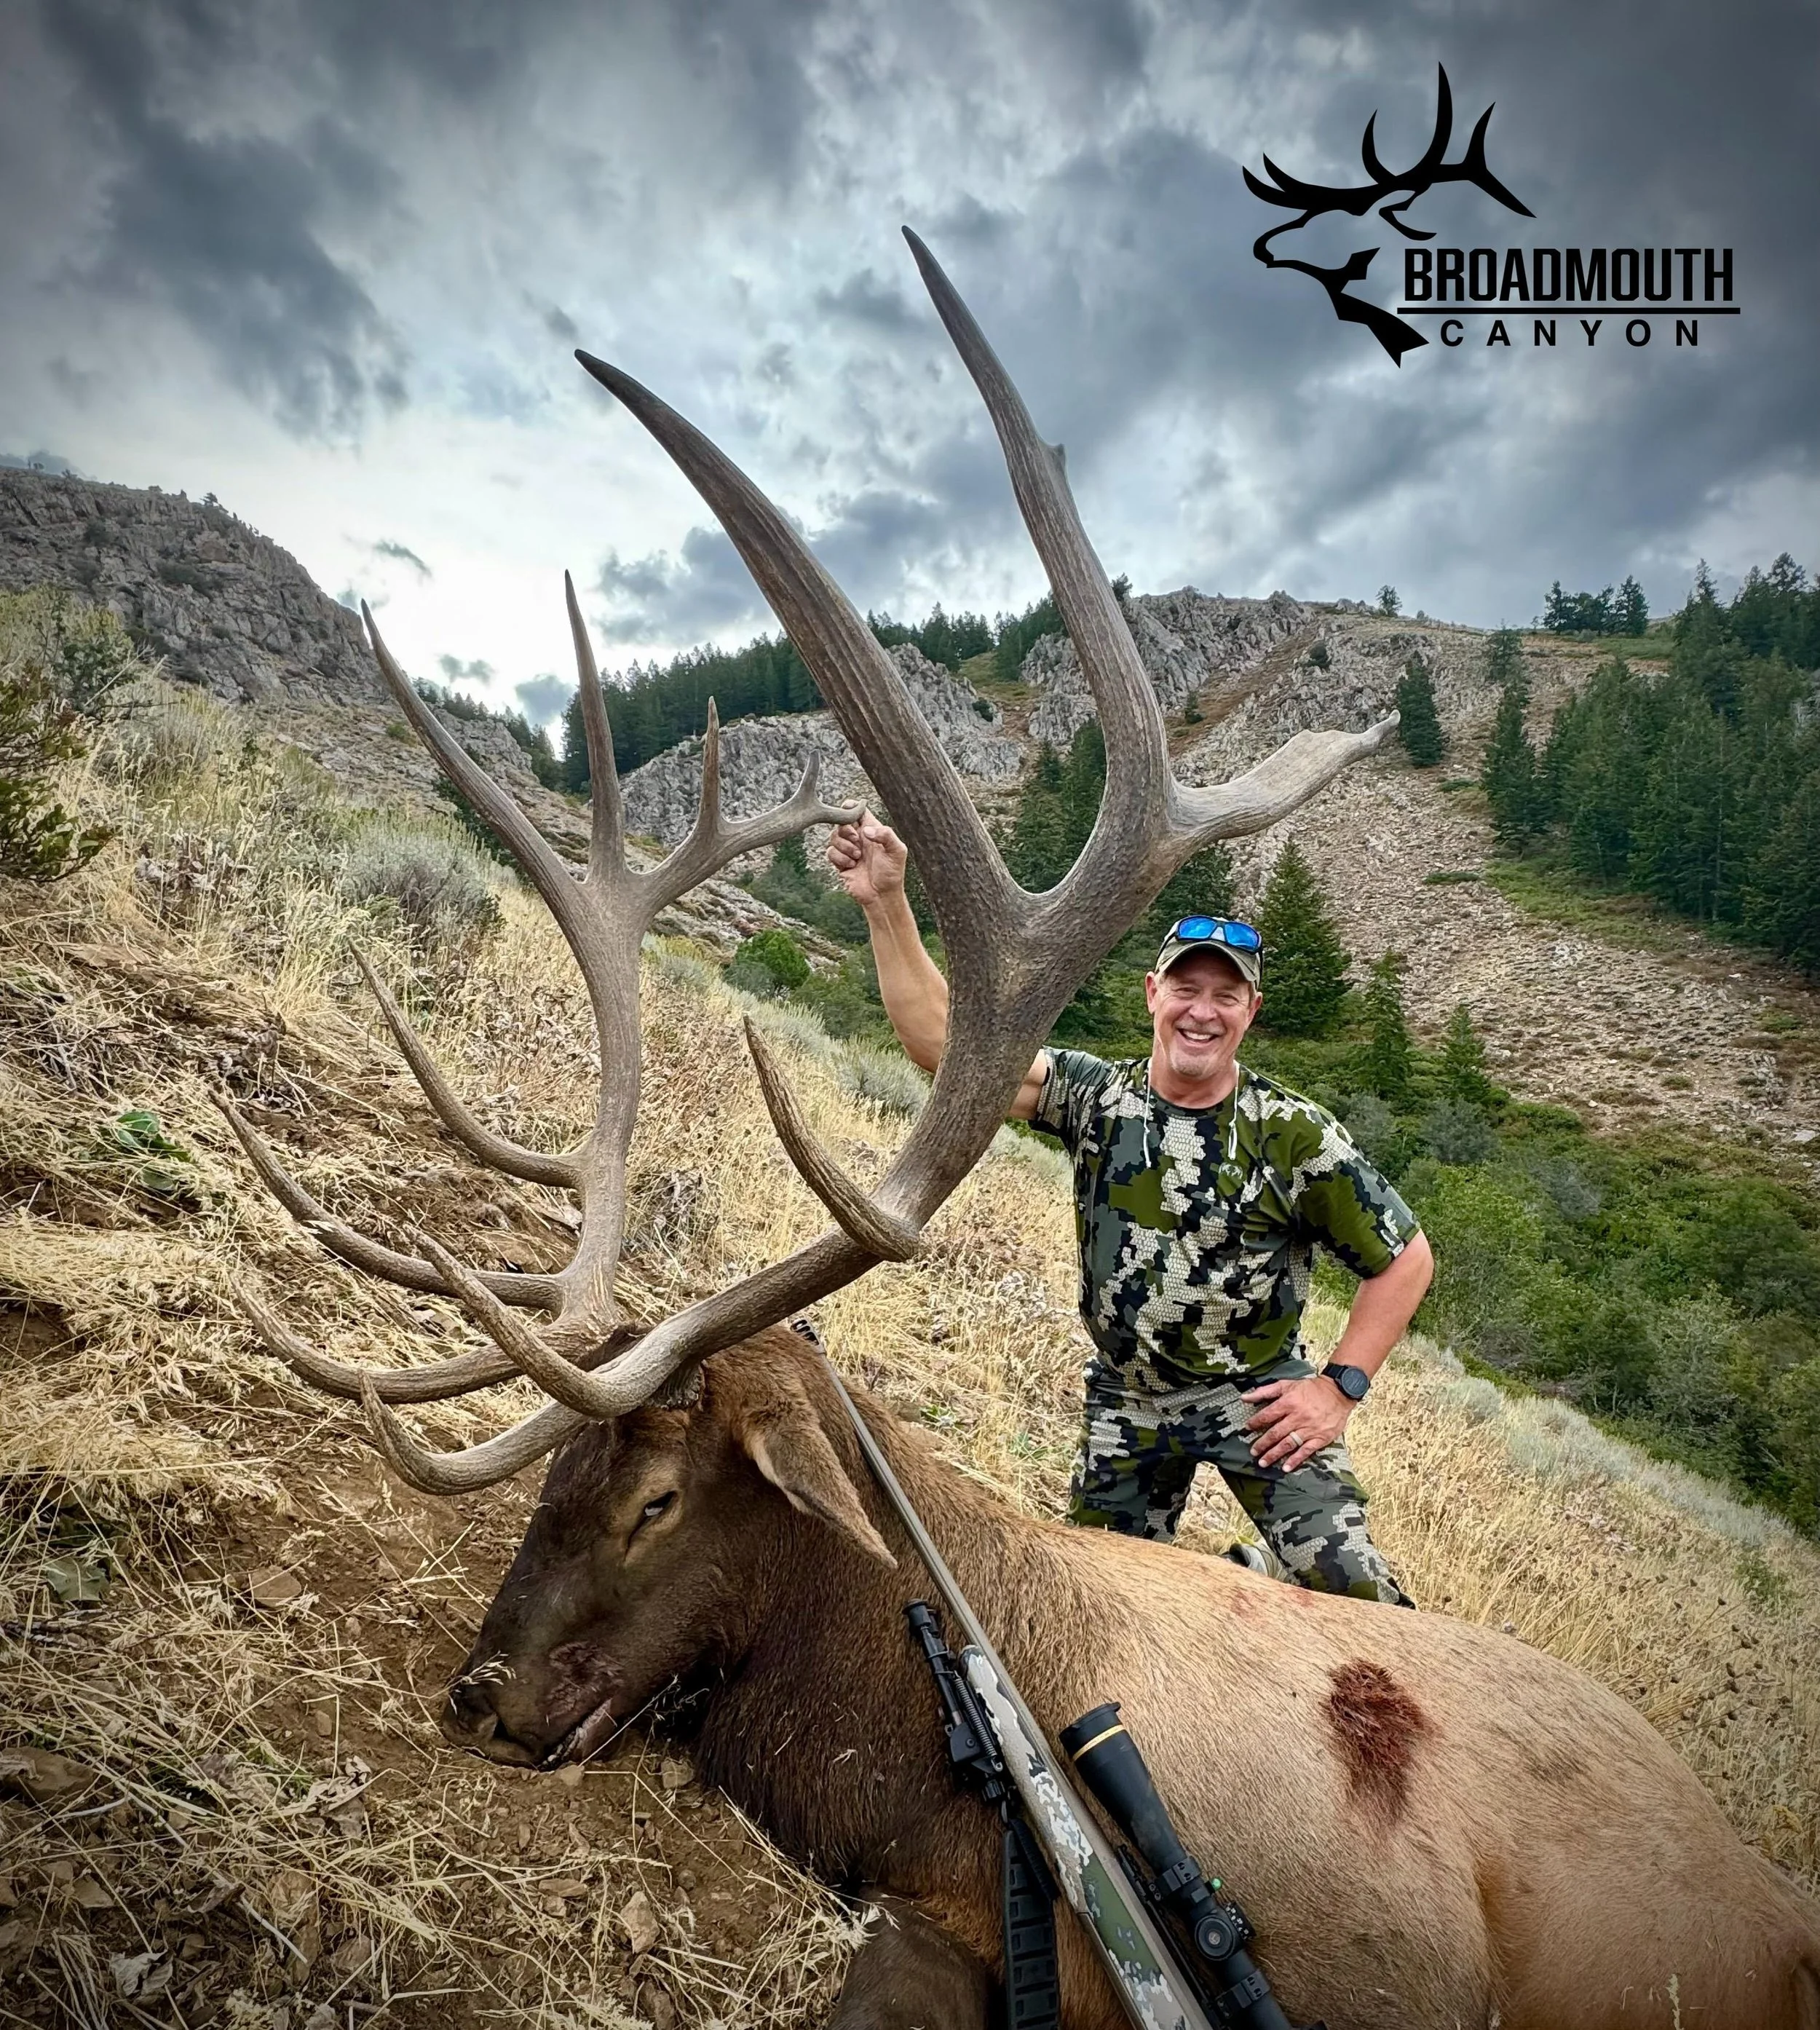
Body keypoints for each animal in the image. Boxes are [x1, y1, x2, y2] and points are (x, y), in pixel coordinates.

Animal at [223, 230, 1820, 2030]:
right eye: (556, 1465)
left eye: (656, 1499)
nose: (480, 1692)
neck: (878, 1708)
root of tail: (1787, 1918)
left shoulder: (1008, 1923)